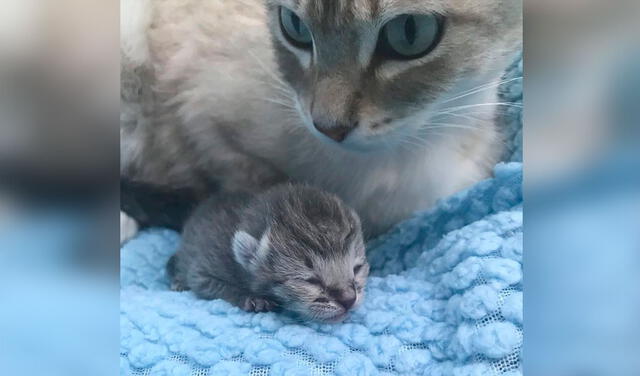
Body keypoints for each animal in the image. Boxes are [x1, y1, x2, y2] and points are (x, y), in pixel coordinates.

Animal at [168, 184, 370, 322]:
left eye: (357, 268)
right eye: (310, 280)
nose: (349, 299)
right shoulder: (204, 268)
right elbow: (207, 284)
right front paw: (252, 298)